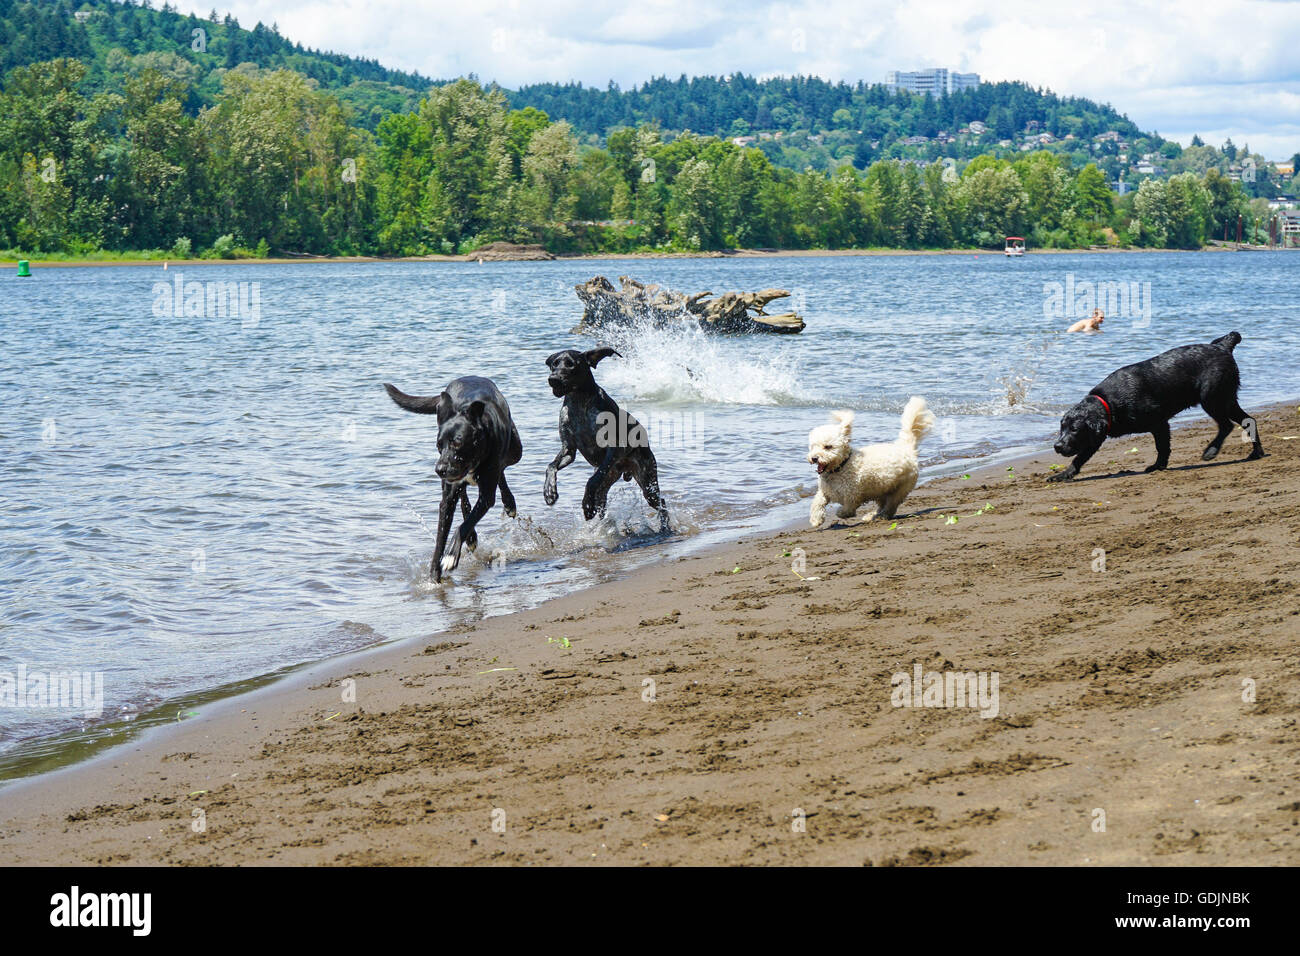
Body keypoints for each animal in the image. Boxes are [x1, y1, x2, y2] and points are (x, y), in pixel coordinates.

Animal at [384, 377, 522, 580]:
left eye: (457, 442)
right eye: (438, 444)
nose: (439, 469)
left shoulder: (486, 496)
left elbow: (462, 526)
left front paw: (450, 556)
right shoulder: (447, 499)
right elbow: (441, 537)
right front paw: (434, 574)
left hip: (515, 451)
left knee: (502, 469)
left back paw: (509, 503)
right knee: (464, 498)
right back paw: (472, 536)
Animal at [543, 348, 670, 535]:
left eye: (571, 364)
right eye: (554, 364)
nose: (553, 379)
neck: (579, 402)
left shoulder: (614, 448)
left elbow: (592, 480)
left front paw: (586, 504)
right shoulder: (568, 450)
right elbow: (551, 467)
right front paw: (549, 492)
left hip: (647, 480)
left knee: (661, 503)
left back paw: (665, 527)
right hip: (609, 483)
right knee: (602, 504)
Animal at [806, 395, 930, 530]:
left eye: (828, 447)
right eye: (813, 446)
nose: (814, 458)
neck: (841, 467)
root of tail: (906, 448)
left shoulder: (852, 496)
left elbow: (848, 510)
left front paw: (840, 513)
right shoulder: (825, 492)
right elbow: (817, 503)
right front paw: (816, 519)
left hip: (900, 489)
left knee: (891, 506)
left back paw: (881, 516)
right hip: (881, 490)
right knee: (882, 505)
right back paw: (871, 516)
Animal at [1050, 332, 1263, 481]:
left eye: (1075, 429)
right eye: (1062, 428)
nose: (1057, 446)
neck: (1109, 403)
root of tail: (1222, 346)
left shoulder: (1159, 423)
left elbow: (1162, 447)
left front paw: (1158, 465)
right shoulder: (1095, 438)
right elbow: (1079, 458)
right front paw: (1064, 474)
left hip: (1212, 399)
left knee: (1226, 425)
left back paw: (1211, 451)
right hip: (1226, 399)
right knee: (1249, 420)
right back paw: (1256, 453)